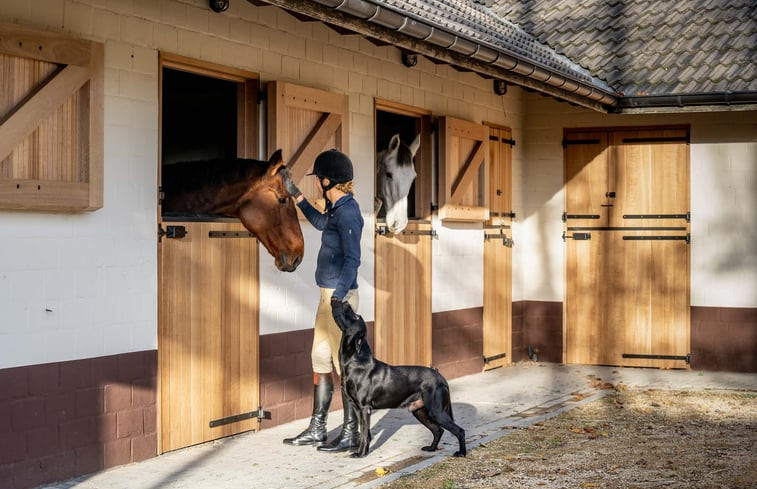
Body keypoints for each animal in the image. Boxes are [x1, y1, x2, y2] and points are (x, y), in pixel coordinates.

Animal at [332, 302, 466, 458]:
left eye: (356, 316)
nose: (345, 302)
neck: (355, 360)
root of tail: (440, 376)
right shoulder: (357, 407)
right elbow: (365, 432)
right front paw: (362, 450)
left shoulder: (365, 408)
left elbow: (364, 433)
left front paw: (361, 454)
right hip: (420, 411)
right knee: (438, 430)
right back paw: (431, 448)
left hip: (435, 411)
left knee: (459, 430)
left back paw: (461, 453)